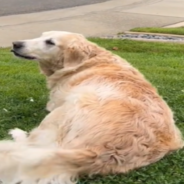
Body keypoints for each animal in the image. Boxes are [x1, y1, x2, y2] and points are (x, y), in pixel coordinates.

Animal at [0, 30, 183, 183]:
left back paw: (18, 134)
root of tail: (99, 151)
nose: (16, 44)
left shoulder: (55, 104)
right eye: (40, 36)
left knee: (33, 143)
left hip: (65, 109)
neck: (86, 62)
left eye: (50, 42)